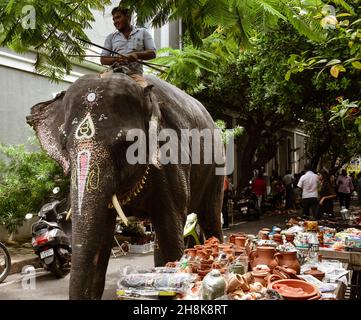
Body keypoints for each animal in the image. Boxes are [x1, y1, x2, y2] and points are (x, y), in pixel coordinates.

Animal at [26, 73, 224, 300]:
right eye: (64, 144)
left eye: (126, 144)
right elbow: (101, 238)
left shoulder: (170, 160)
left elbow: (169, 236)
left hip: (217, 167)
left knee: (210, 218)